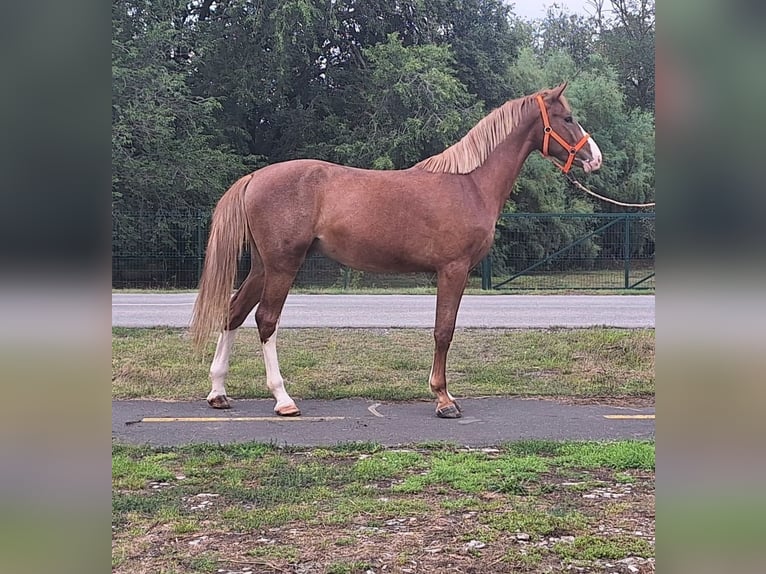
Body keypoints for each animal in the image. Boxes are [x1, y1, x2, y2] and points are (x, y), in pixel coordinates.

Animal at [189, 82, 604, 418]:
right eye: (567, 117)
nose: (595, 158)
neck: (469, 184)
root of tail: (254, 177)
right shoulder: (453, 270)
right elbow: (443, 330)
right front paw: (443, 399)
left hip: (263, 267)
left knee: (233, 313)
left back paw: (218, 392)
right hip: (282, 266)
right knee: (266, 321)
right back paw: (283, 399)